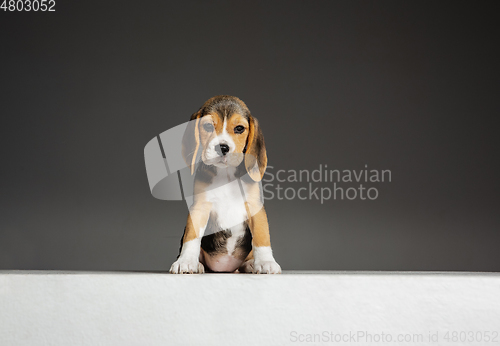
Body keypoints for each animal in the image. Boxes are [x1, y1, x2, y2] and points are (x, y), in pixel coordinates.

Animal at [170, 94, 282, 274]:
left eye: (239, 129)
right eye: (208, 126)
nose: (222, 147)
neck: (226, 174)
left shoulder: (255, 205)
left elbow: (261, 236)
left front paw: (266, 262)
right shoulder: (200, 207)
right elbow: (191, 237)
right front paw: (185, 261)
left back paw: (251, 264)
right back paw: (198, 265)